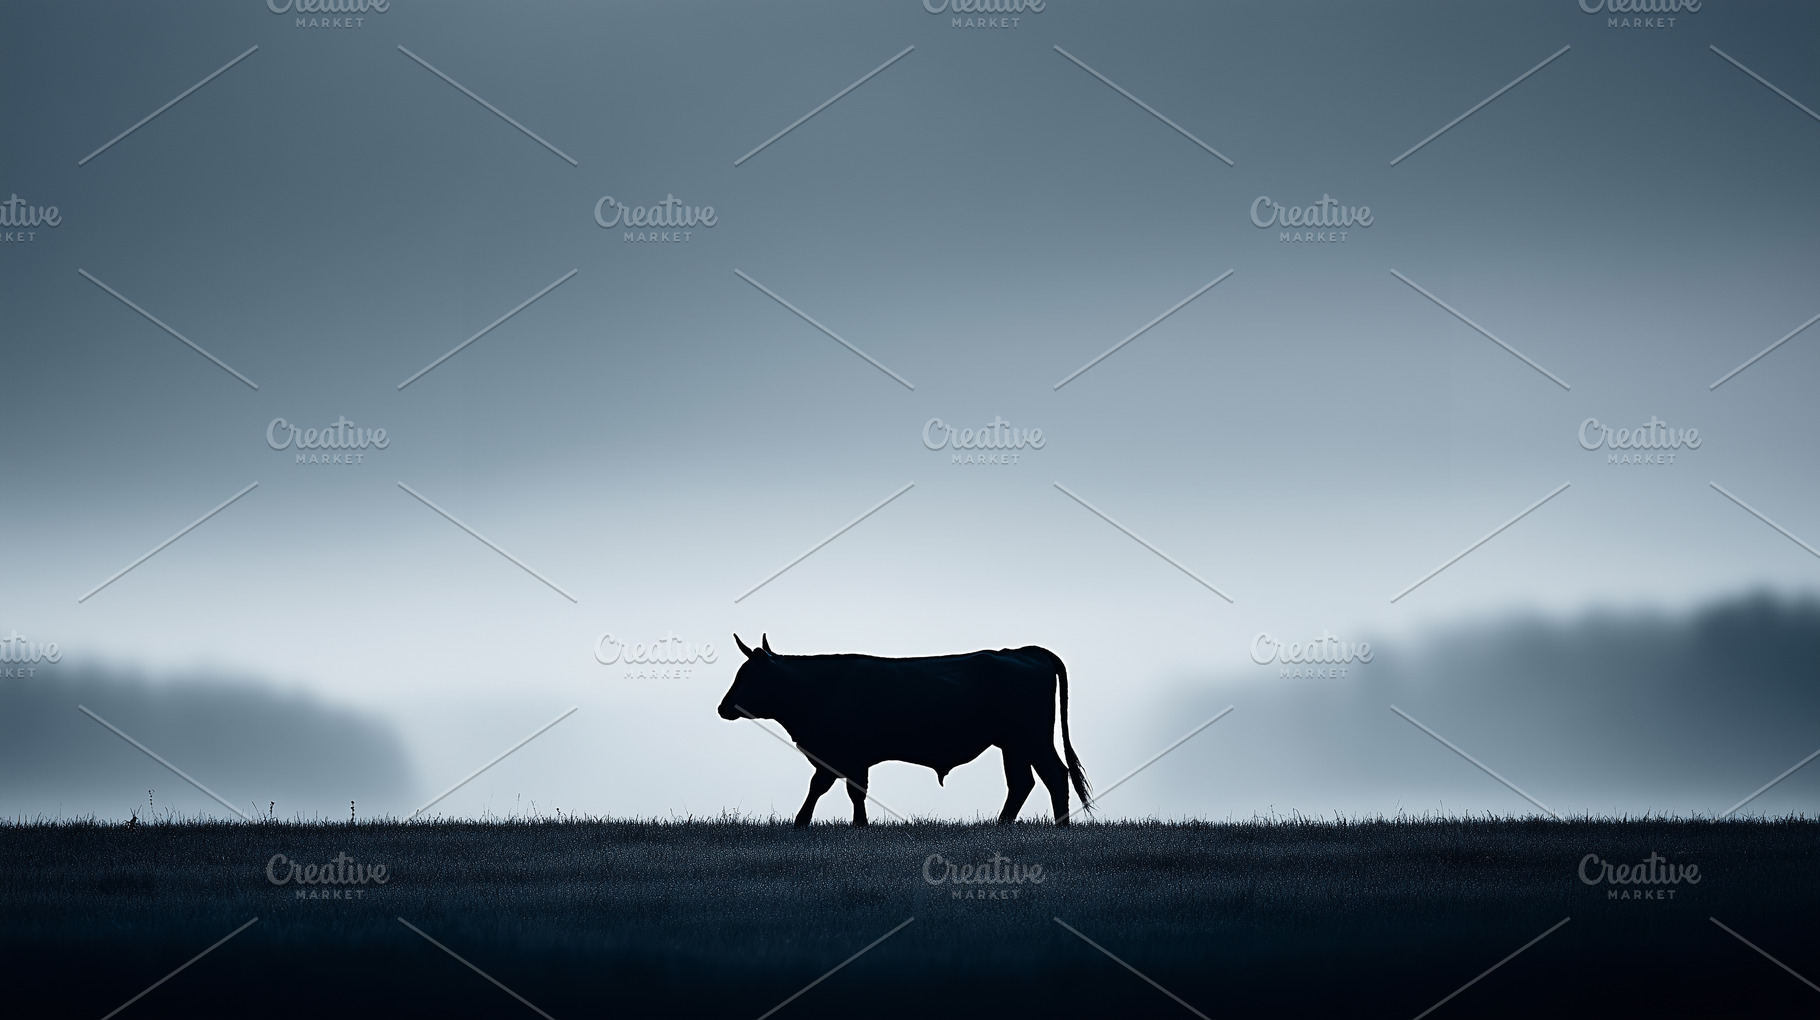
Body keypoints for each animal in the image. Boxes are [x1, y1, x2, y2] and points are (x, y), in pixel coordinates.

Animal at [716, 635, 1091, 827]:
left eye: (747, 675)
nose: (723, 707)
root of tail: (1021, 651)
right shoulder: (845, 756)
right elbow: (845, 789)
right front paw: (853, 825)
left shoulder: (844, 753)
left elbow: (833, 787)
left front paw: (807, 823)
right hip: (1013, 743)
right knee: (1023, 781)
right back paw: (1002, 825)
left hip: (1031, 737)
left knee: (1054, 774)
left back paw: (1060, 827)